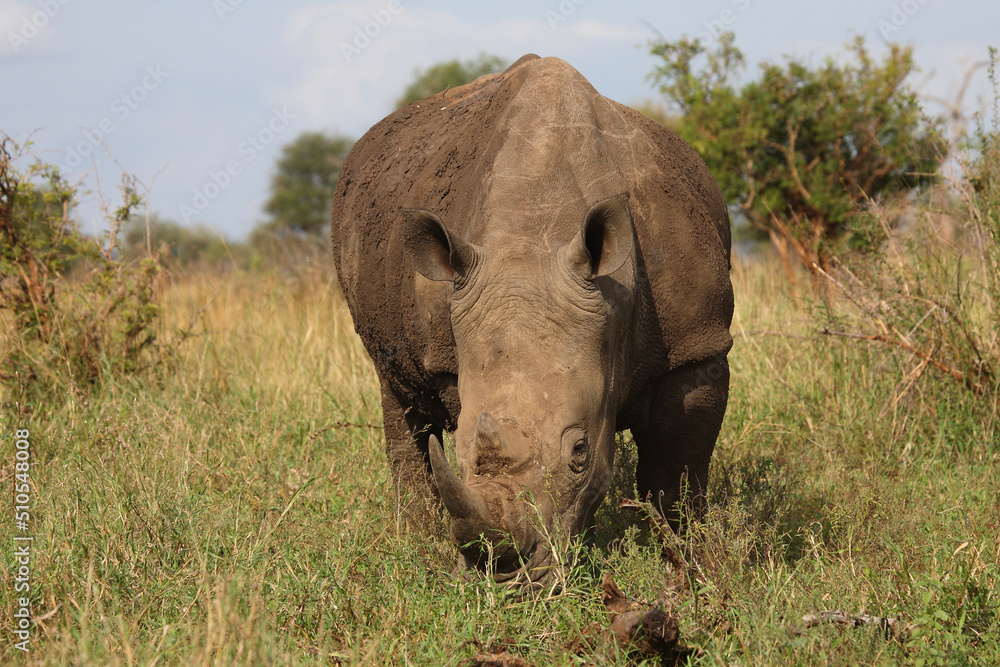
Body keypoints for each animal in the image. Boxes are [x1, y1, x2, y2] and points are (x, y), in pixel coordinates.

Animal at [331, 54, 733, 583]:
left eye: (580, 452)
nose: (505, 577)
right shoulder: (451, 353)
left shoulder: (698, 346)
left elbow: (676, 475)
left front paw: (692, 566)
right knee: (398, 397)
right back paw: (412, 544)